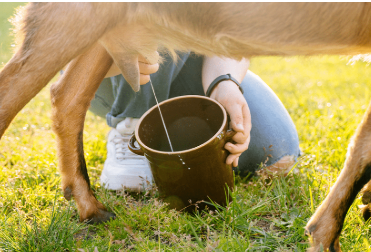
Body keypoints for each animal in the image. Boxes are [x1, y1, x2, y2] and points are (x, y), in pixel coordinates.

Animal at [2, 2, 371, 252]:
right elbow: (362, 150)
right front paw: (326, 237)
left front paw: (364, 206)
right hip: (73, 16)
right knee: (12, 97)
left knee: (67, 97)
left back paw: (91, 209)